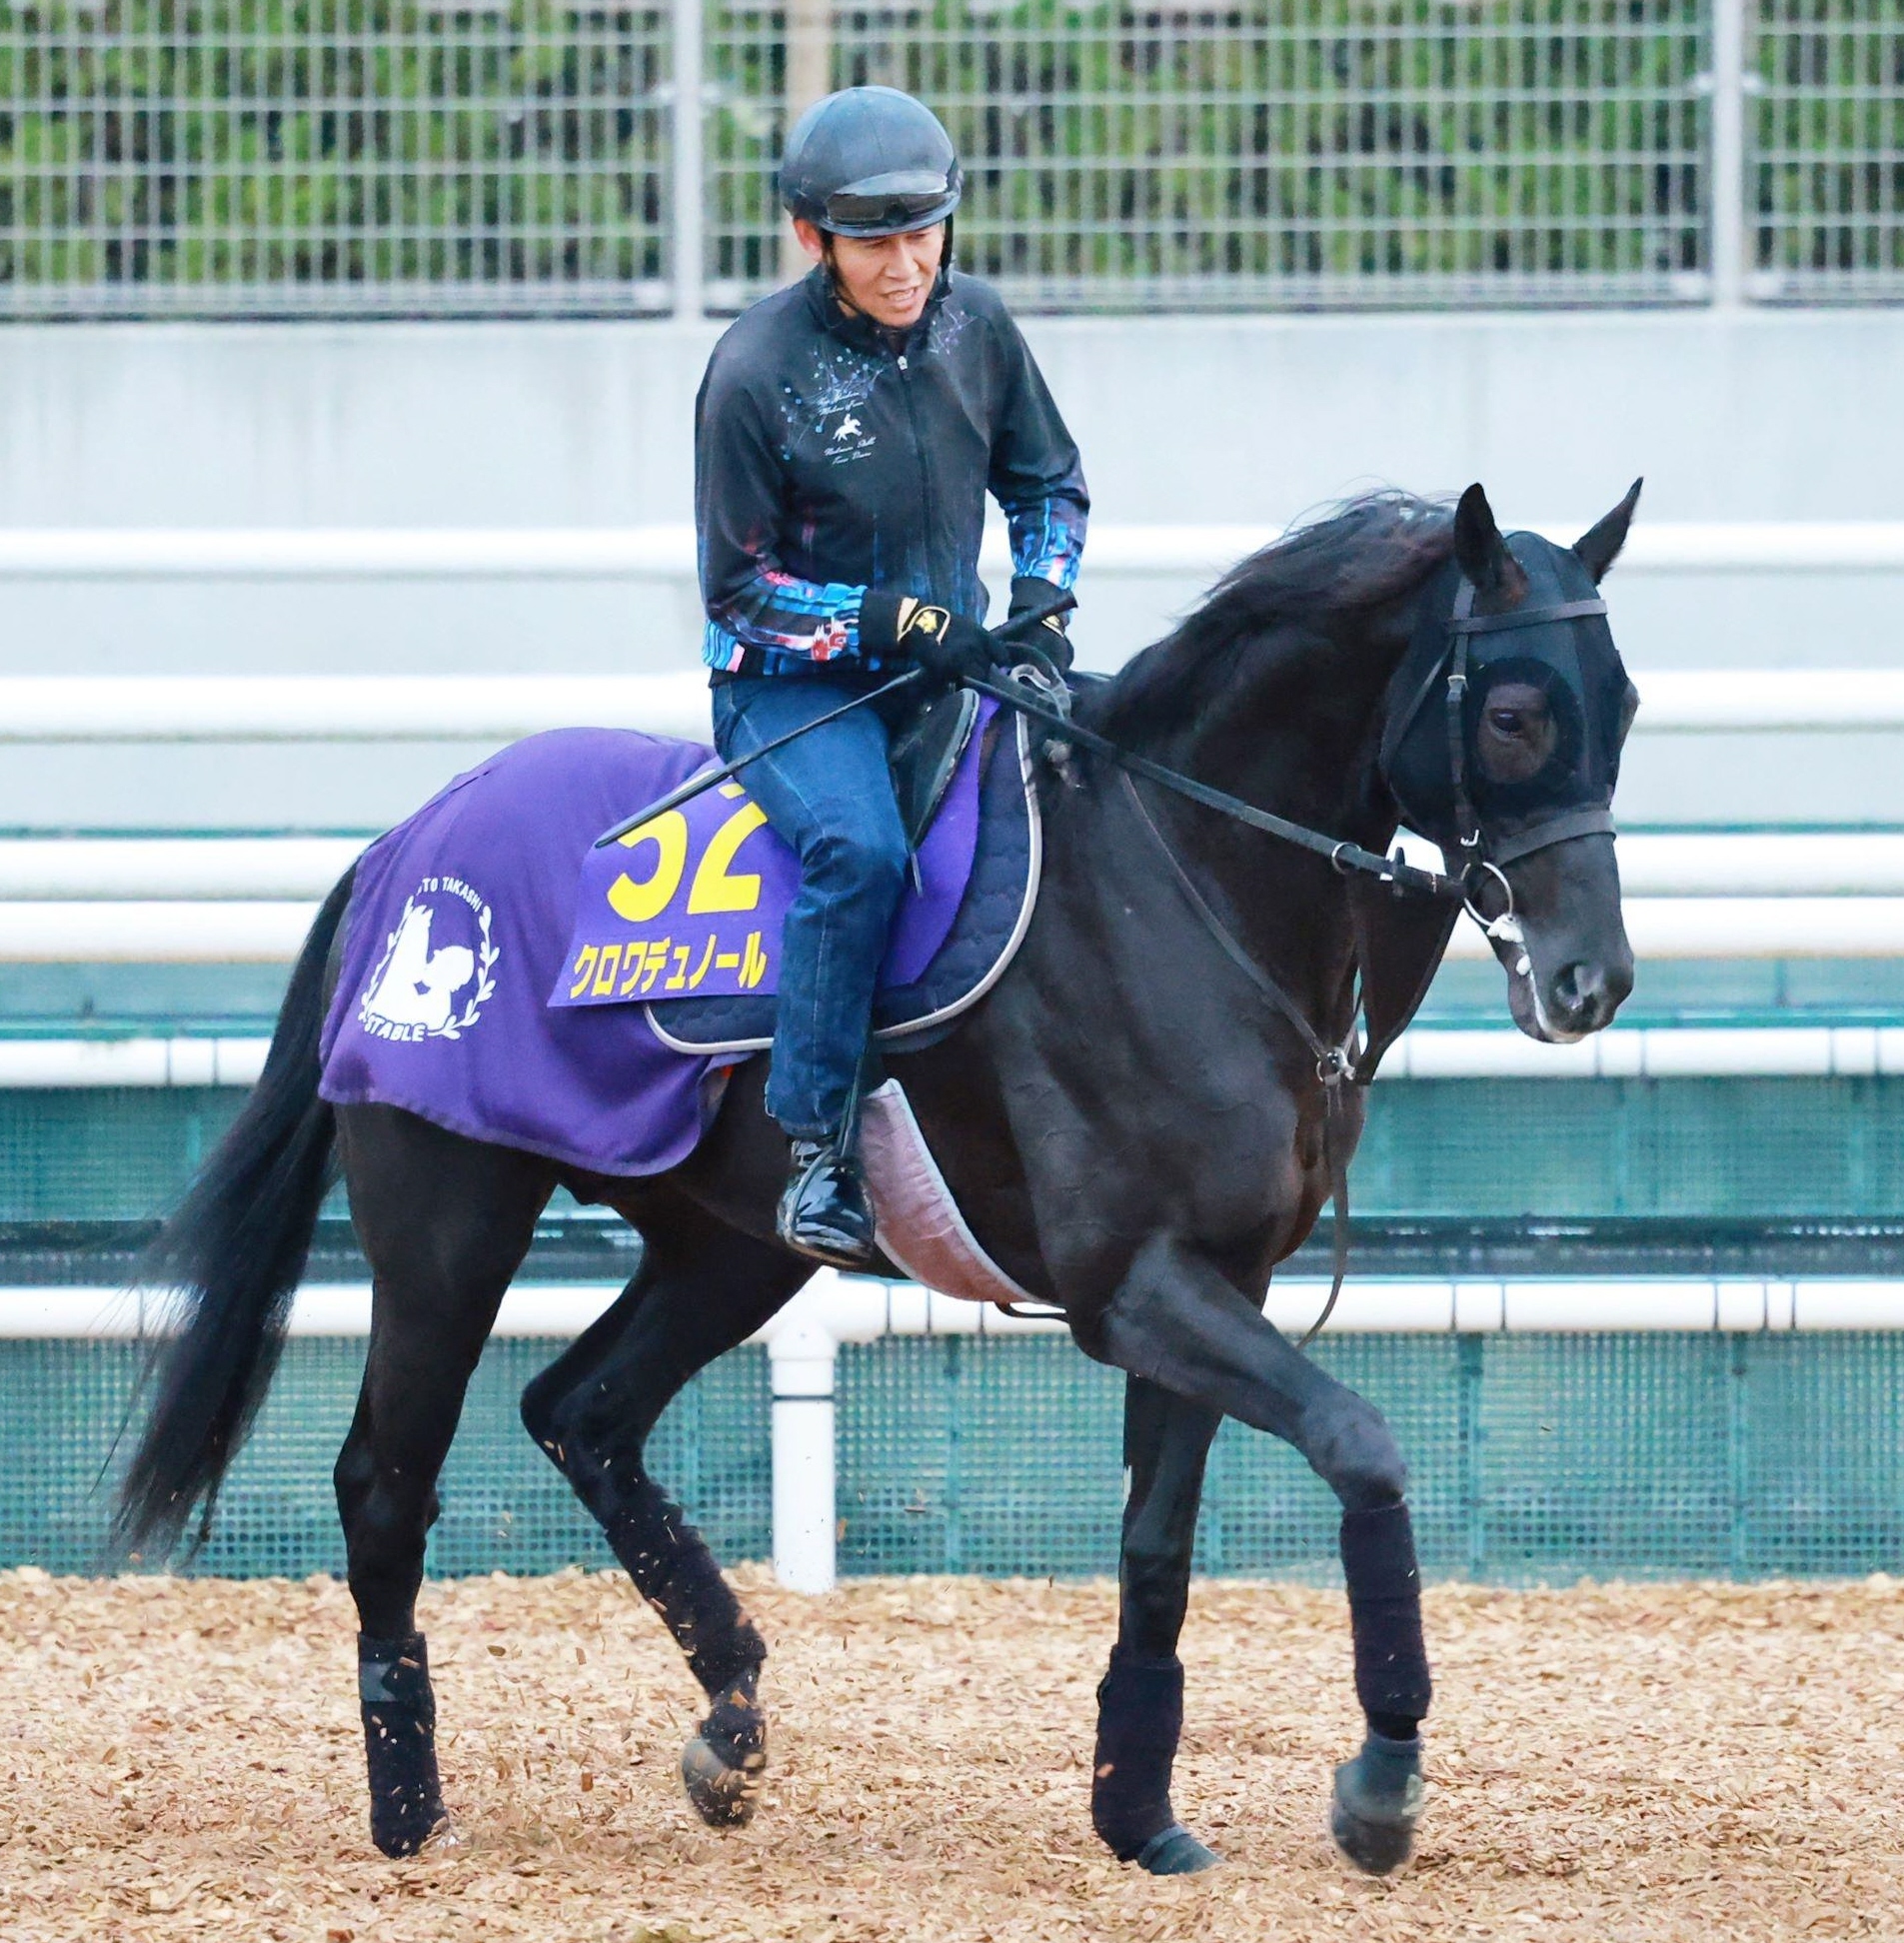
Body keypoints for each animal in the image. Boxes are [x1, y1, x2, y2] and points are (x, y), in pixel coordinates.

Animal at [114, 481, 1640, 1878]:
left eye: (1620, 704)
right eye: (1514, 713)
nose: (1593, 981)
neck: (1176, 875)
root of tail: (405, 846)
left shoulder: (1220, 1280)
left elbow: (1157, 1547)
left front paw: (1139, 1815)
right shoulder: (1136, 1289)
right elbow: (1361, 1445)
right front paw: (1380, 1785)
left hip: (727, 1247)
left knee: (582, 1413)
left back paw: (729, 1727)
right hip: (450, 1227)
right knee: (385, 1482)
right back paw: (409, 1810)